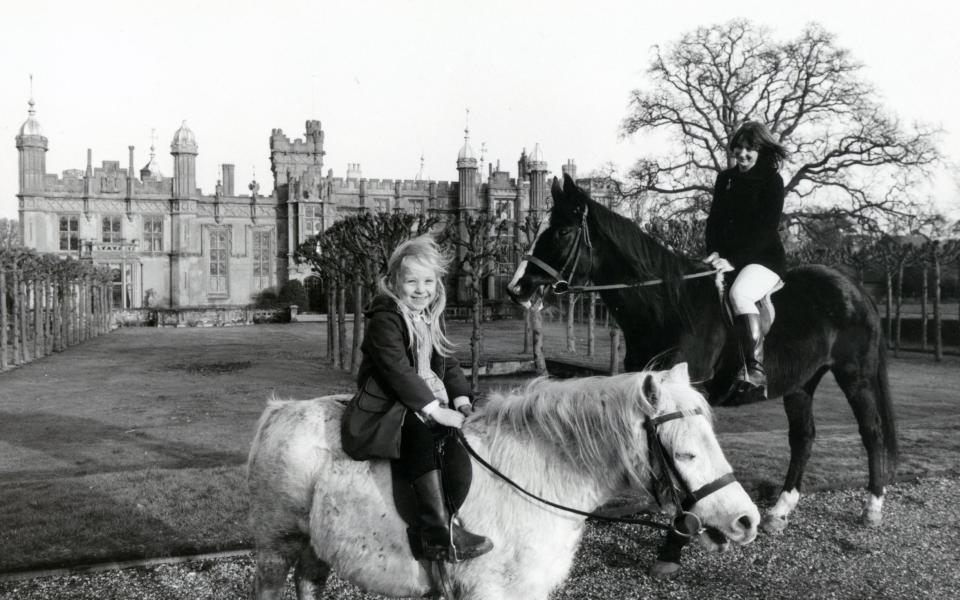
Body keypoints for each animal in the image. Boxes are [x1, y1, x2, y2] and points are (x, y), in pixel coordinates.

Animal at [246, 364, 756, 596]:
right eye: (686, 453)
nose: (746, 520)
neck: (539, 474)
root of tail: (277, 411)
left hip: (314, 545)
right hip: (276, 545)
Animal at [510, 176, 900, 580]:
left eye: (561, 231)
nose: (517, 288)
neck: (669, 305)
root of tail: (852, 286)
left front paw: (674, 547)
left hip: (855, 375)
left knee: (871, 432)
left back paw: (872, 508)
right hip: (800, 384)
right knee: (803, 438)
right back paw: (780, 512)